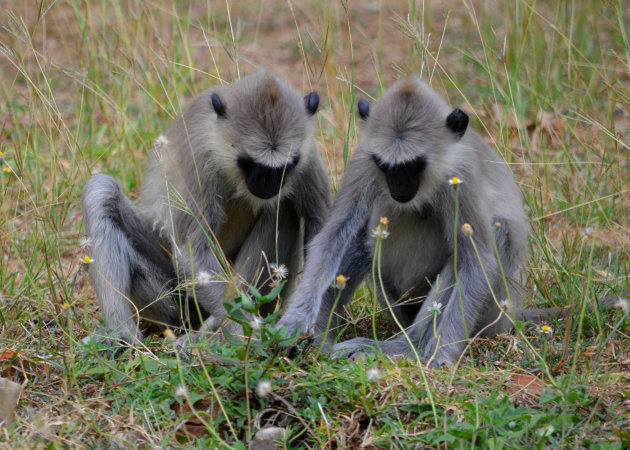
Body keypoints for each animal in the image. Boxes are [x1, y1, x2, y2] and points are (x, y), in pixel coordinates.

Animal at [81, 72, 334, 350]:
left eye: (285, 166)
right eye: (247, 163)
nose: (268, 185)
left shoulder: (307, 156)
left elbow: (323, 231)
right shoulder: (200, 157)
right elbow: (193, 253)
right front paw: (249, 334)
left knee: (282, 206)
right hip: (171, 296)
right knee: (101, 191)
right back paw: (125, 335)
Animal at [278, 77, 540, 366]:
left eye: (413, 165)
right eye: (385, 165)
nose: (398, 185)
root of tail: (511, 314)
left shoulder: (461, 174)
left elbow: (478, 261)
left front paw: (442, 354)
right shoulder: (365, 159)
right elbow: (332, 237)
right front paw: (294, 321)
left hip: (495, 306)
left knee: (492, 234)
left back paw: (406, 346)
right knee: (360, 243)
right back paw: (321, 342)